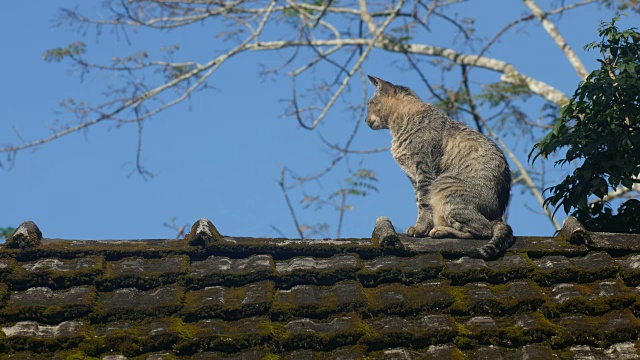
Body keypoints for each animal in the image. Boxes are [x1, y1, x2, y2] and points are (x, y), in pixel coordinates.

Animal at [364, 75, 516, 258]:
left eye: (369, 104)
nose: (365, 120)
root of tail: (498, 216)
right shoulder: (413, 177)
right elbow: (419, 202)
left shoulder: (424, 170)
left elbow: (424, 204)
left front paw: (420, 228)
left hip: (444, 185)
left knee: (484, 229)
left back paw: (441, 231)